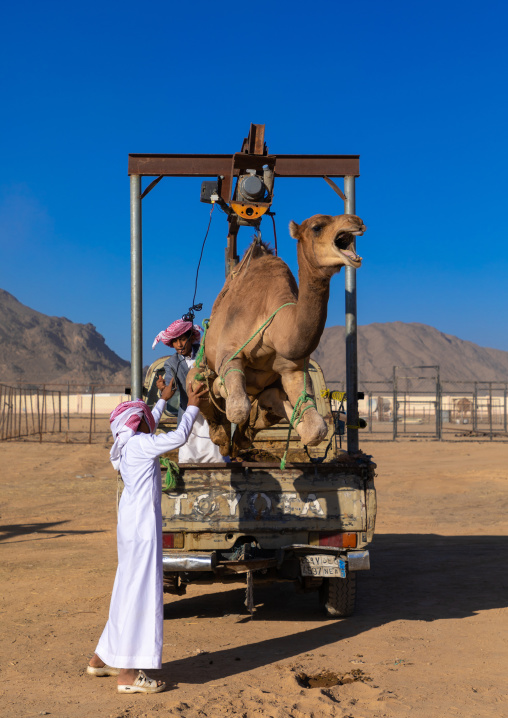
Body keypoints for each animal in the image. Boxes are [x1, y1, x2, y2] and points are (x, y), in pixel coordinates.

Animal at [188, 213, 366, 456]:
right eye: (317, 227)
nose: (356, 220)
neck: (274, 327)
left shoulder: (292, 369)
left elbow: (315, 429)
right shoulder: (230, 352)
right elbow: (237, 406)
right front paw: (219, 390)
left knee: (265, 400)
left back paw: (240, 439)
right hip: (201, 367)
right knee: (199, 386)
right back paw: (222, 436)